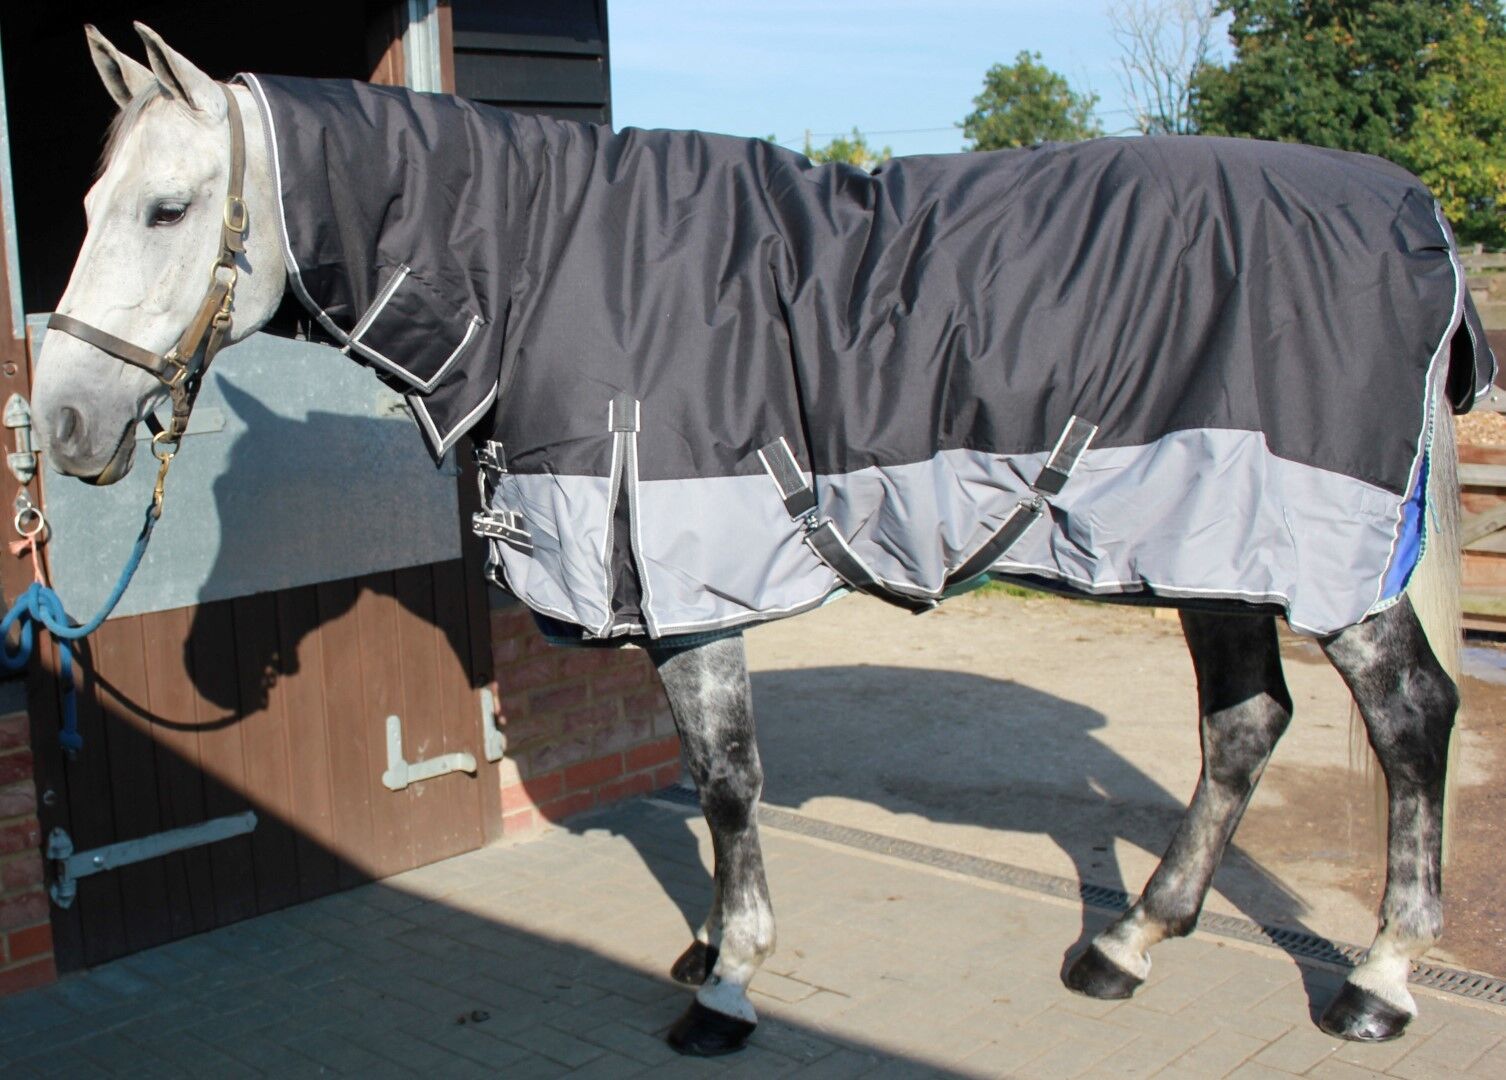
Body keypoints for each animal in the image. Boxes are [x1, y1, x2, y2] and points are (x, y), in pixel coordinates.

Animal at [30, 22, 1481, 1057]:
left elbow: (726, 780)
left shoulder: (688, 577)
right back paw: (1127, 944)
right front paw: (710, 950)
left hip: (1319, 558)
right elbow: (706, 779)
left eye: (167, 209)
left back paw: (1377, 981)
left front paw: (727, 984)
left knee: (1409, 720)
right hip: (1212, 543)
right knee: (1243, 723)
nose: (63, 423)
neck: (541, 262)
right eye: (90, 203)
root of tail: (1414, 213)